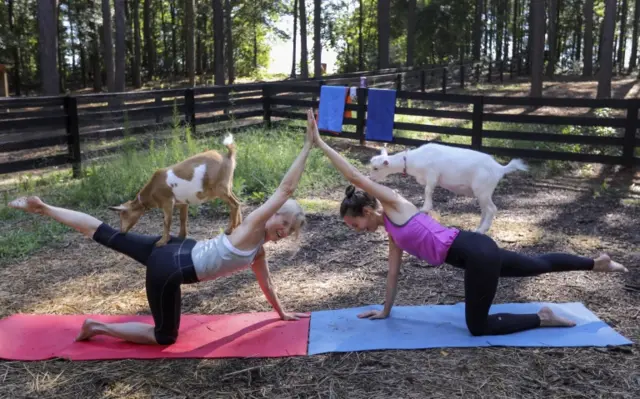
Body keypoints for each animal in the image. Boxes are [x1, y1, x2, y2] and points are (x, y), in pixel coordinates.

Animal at [109, 136, 241, 245]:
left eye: (123, 215)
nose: (121, 232)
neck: (152, 188)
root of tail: (227, 155)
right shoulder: (182, 203)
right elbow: (183, 219)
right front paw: (181, 236)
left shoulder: (167, 202)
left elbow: (167, 221)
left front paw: (162, 242)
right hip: (228, 187)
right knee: (238, 202)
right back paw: (238, 226)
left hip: (221, 189)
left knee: (234, 204)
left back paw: (229, 230)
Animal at [368, 143, 528, 234]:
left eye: (376, 168)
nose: (370, 178)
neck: (414, 160)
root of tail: (500, 168)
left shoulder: (432, 174)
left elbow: (428, 191)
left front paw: (425, 208)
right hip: (483, 192)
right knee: (485, 209)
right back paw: (479, 227)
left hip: (483, 189)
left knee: (492, 209)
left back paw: (482, 230)